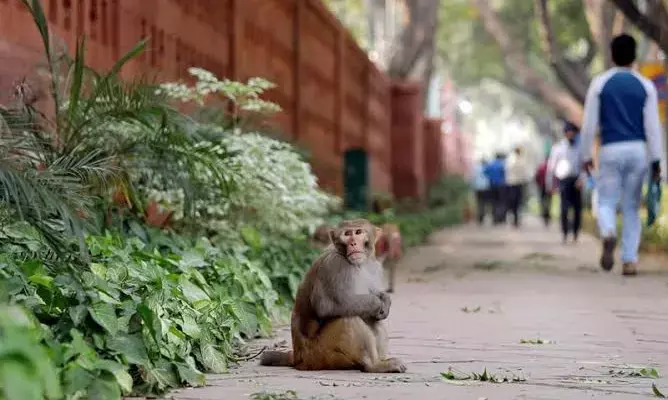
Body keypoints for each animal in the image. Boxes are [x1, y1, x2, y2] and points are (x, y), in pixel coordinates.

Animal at [260, 219, 406, 373]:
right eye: (347, 234)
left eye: (358, 232)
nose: (353, 243)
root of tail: (298, 357)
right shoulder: (335, 265)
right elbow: (329, 306)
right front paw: (377, 303)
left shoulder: (373, 266)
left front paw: (385, 300)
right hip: (321, 354)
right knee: (349, 317)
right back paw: (373, 365)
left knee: (373, 320)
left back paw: (380, 361)